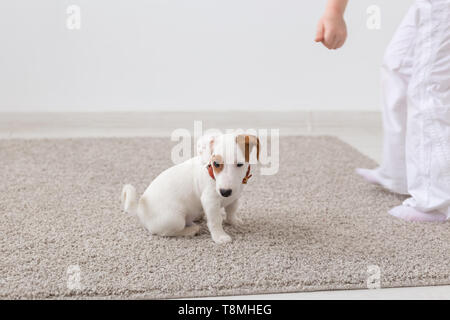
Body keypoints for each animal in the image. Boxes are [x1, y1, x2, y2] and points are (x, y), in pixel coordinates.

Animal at [120, 134, 260, 244]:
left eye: (240, 164)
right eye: (216, 164)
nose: (225, 192)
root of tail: (140, 208)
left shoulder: (235, 196)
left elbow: (231, 211)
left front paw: (234, 222)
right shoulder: (210, 201)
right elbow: (215, 220)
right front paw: (220, 236)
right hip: (175, 219)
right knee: (168, 232)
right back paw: (192, 229)